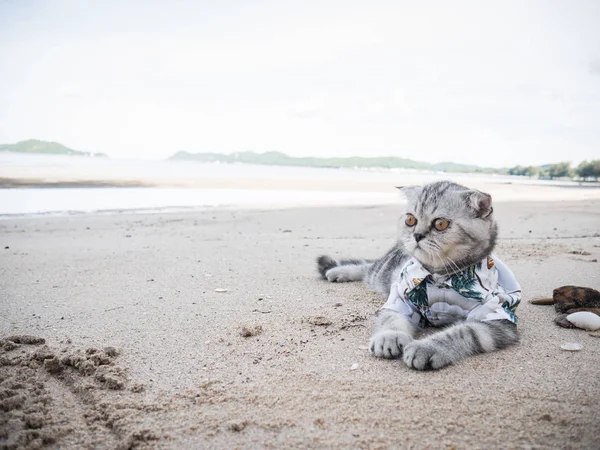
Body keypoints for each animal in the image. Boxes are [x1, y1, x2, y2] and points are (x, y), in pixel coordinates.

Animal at [318, 181, 520, 370]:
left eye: (440, 224)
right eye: (410, 220)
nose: (417, 235)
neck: (440, 276)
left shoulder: (497, 316)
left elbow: (464, 331)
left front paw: (427, 347)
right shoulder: (400, 298)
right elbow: (391, 318)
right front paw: (389, 336)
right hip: (383, 272)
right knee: (368, 267)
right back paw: (337, 272)